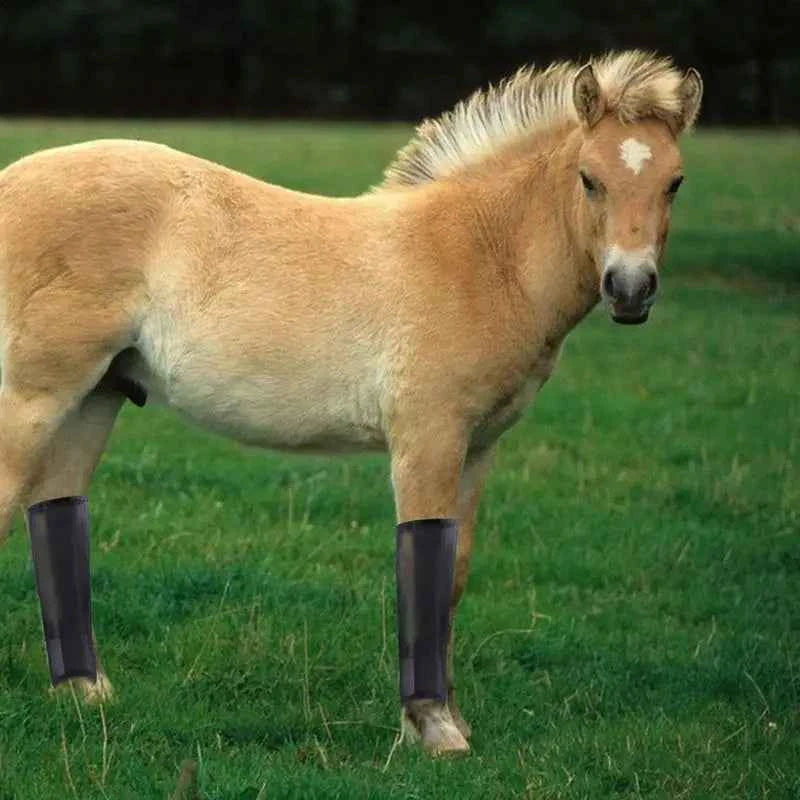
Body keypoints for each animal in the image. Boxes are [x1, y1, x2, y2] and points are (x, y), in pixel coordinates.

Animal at [0, 50, 701, 756]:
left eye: (675, 182)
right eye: (589, 179)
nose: (630, 290)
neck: (480, 254)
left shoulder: (478, 447)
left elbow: (452, 572)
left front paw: (450, 718)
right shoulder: (427, 437)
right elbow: (422, 558)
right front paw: (433, 728)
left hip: (96, 397)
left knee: (54, 508)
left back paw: (85, 693)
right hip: (35, 397)